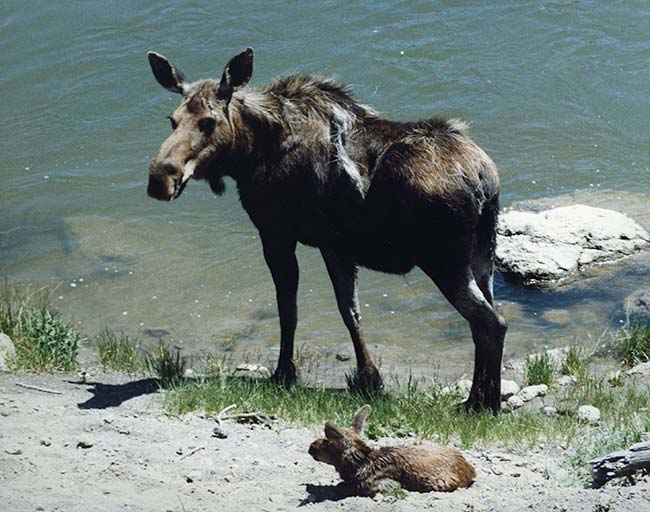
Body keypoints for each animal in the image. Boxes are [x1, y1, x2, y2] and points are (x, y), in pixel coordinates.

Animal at [147, 48, 506, 414]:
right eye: (172, 119)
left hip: (444, 260)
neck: (249, 154)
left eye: (208, 121)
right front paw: (368, 380)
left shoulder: (277, 232)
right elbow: (351, 312)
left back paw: (481, 404)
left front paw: (285, 374)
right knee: (489, 316)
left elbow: (289, 309)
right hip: (483, 255)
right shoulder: (335, 247)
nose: (160, 179)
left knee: (490, 322)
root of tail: (485, 181)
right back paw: (482, 398)